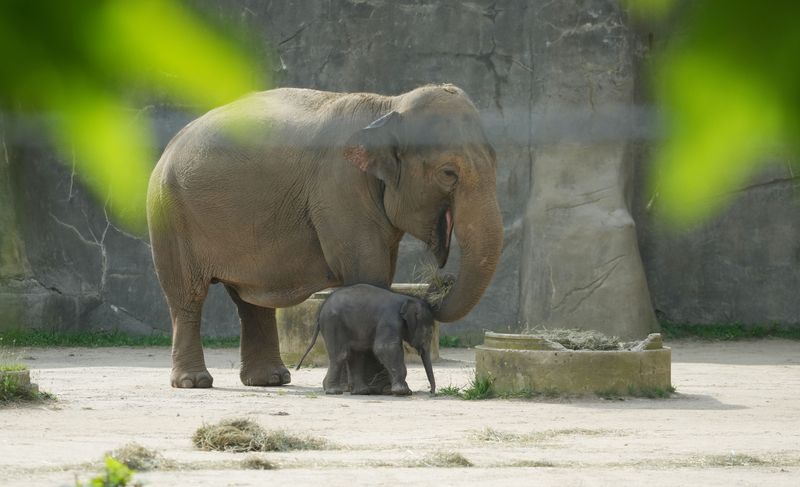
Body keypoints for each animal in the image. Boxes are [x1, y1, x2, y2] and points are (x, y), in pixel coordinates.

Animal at [295, 284, 436, 396]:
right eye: (429, 332)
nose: (431, 392)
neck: (406, 298)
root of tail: (320, 313)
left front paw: (402, 391)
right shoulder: (389, 320)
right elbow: (385, 348)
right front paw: (404, 392)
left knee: (356, 355)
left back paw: (361, 392)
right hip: (333, 324)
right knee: (341, 355)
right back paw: (334, 391)